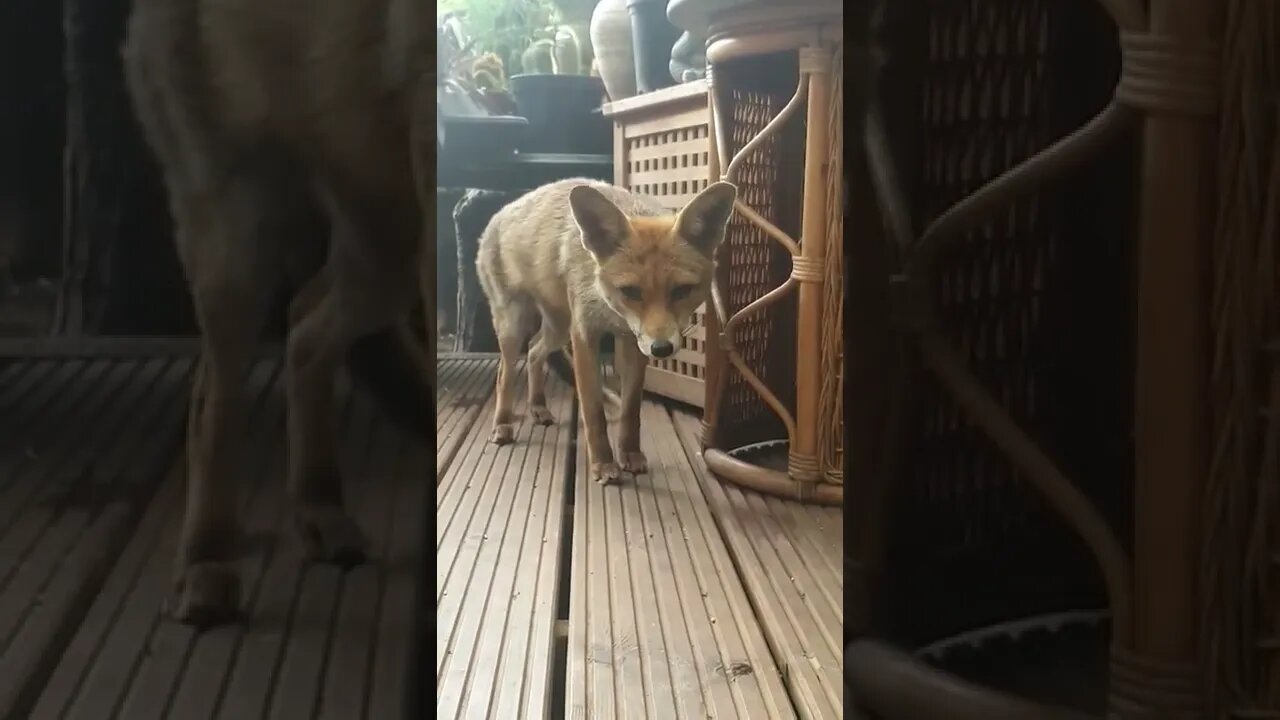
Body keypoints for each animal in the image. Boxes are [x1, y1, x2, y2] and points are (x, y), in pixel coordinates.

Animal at [124, 0, 435, 622]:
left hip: (385, 243)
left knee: (305, 326)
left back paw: (319, 510)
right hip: (239, 244)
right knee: (212, 400)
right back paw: (207, 559)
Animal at [476, 178, 737, 481]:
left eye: (682, 290)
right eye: (631, 292)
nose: (662, 349)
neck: (612, 313)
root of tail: (501, 211)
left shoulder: (634, 343)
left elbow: (631, 411)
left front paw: (630, 454)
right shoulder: (584, 334)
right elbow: (593, 412)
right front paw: (602, 464)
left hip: (557, 328)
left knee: (533, 352)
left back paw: (538, 406)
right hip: (515, 325)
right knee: (504, 374)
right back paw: (502, 424)